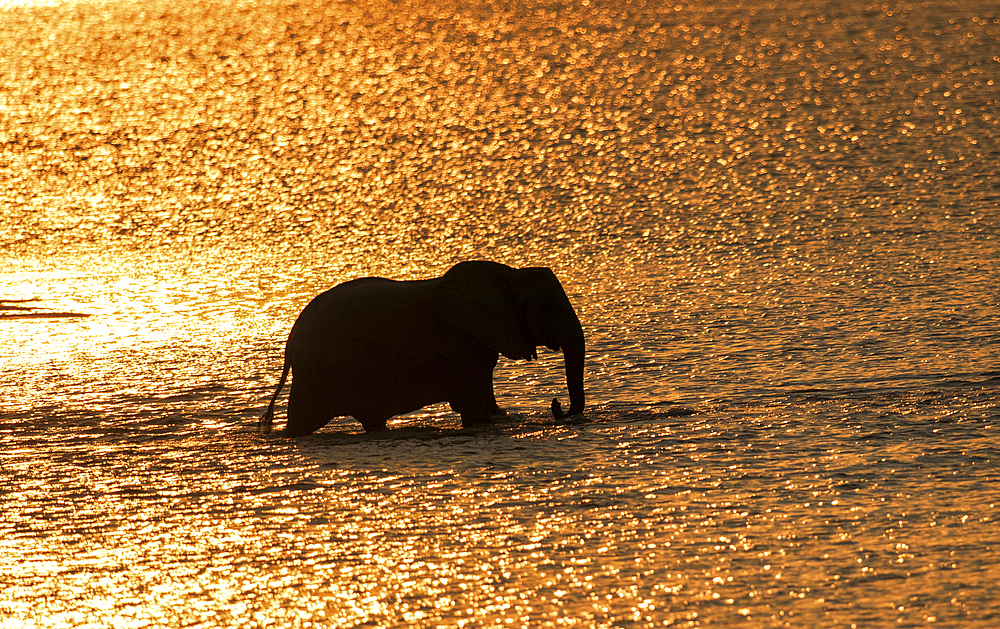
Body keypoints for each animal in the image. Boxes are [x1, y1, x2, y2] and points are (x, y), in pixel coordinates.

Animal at [258, 260, 584, 436]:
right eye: (546, 308)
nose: (556, 406)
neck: (511, 274)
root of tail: (291, 340)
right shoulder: (462, 348)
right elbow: (474, 407)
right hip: (319, 373)